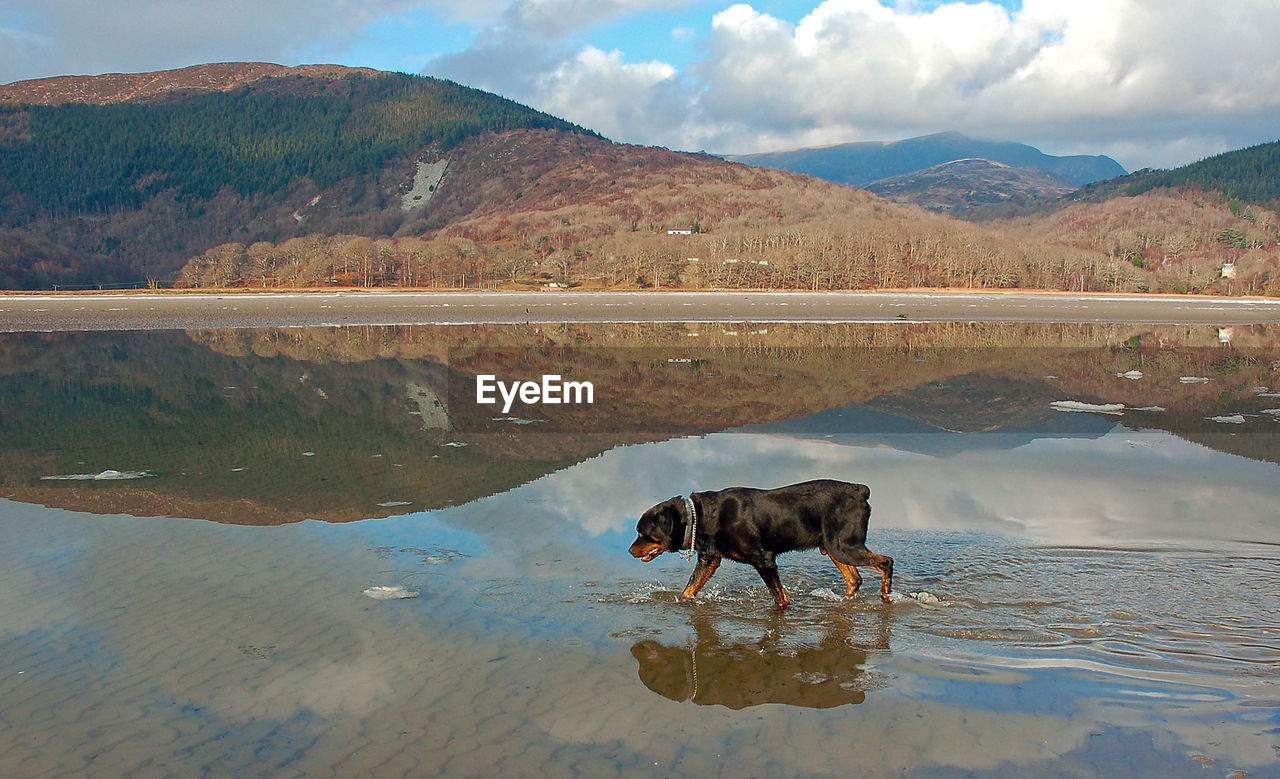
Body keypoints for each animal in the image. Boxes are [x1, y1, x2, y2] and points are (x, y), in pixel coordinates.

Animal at [627, 480, 890, 608]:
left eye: (643, 533)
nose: (629, 550)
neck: (699, 517)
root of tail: (860, 490)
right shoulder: (709, 559)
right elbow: (689, 589)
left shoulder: (764, 559)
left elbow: (780, 596)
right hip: (835, 546)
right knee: (854, 579)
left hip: (845, 546)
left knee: (886, 562)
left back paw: (886, 595)